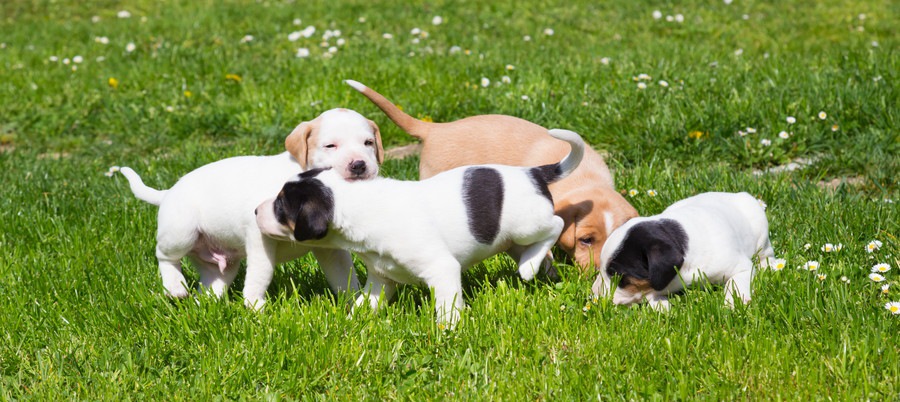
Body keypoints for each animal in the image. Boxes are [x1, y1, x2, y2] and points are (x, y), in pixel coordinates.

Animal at [118, 108, 384, 310]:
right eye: (331, 146)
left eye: (368, 143)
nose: (359, 165)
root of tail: (167, 193)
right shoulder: (259, 237)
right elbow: (261, 271)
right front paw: (255, 305)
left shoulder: (331, 250)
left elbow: (343, 274)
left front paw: (355, 302)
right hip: (180, 232)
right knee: (164, 256)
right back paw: (174, 286)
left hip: (221, 263)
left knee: (211, 283)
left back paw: (203, 307)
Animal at [256, 129, 588, 326]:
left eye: (281, 204)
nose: (256, 210)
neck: (360, 203)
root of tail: (534, 173)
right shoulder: (381, 279)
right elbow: (365, 303)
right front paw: (350, 323)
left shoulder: (442, 270)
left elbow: (448, 309)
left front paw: (448, 332)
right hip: (513, 239)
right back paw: (536, 266)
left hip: (527, 224)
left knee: (555, 225)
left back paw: (529, 267)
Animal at [592, 192, 772, 310]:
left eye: (616, 275)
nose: (593, 294)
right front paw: (660, 305)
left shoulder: (741, 267)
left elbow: (735, 283)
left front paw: (734, 302)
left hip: (760, 230)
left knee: (766, 252)